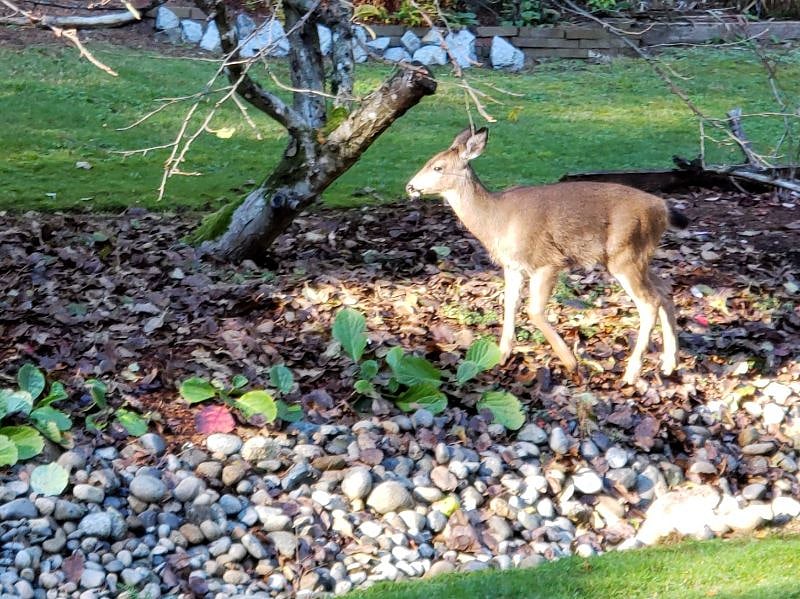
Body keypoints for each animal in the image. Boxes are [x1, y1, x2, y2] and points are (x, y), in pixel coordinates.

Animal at [406, 127, 688, 385]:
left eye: (438, 167)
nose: (410, 187)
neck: (496, 220)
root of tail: (662, 209)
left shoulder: (547, 261)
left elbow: (534, 311)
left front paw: (571, 362)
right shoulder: (513, 266)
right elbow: (509, 305)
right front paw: (501, 357)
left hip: (625, 255)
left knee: (649, 302)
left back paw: (631, 374)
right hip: (637, 256)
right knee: (664, 290)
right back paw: (669, 363)